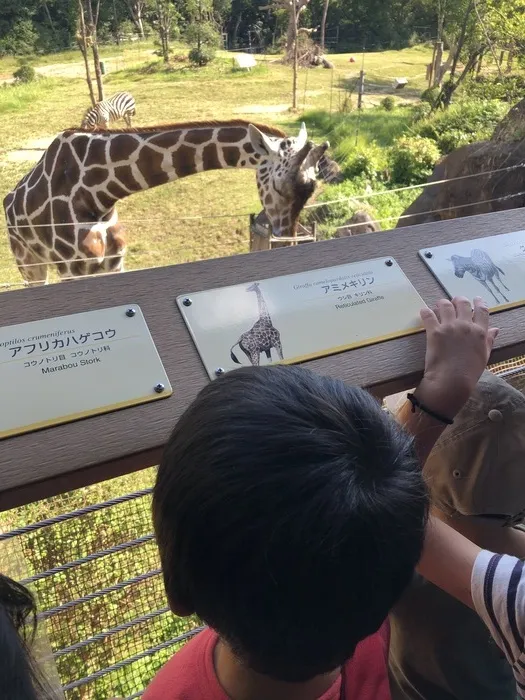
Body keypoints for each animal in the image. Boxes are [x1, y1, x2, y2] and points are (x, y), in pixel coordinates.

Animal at [5, 121, 328, 284]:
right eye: (278, 187)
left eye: (311, 189)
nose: (287, 239)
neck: (97, 191)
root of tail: (10, 198)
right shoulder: (74, 268)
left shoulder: (113, 262)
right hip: (28, 262)